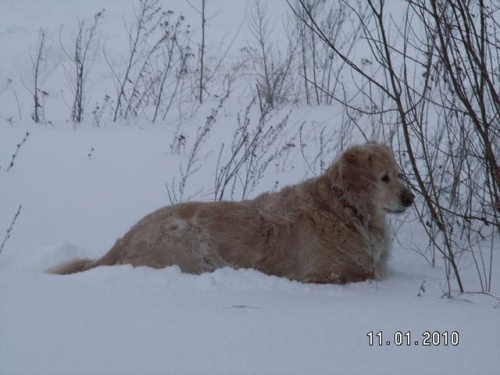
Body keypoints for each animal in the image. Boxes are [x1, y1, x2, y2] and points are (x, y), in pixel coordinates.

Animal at [48, 142, 414, 284]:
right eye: (384, 177)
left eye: (399, 173)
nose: (411, 198)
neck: (345, 209)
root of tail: (123, 241)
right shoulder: (322, 274)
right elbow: (361, 274)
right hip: (191, 245)